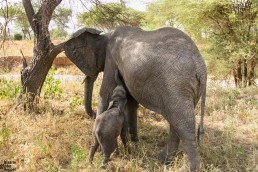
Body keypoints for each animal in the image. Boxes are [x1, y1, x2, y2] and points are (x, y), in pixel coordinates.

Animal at [63, 26, 207, 171]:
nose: (92, 114)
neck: (105, 34)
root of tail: (200, 66)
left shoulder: (111, 58)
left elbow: (106, 92)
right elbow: (131, 103)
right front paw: (134, 143)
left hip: (177, 84)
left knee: (183, 124)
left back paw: (185, 168)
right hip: (187, 89)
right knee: (177, 121)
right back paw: (163, 159)